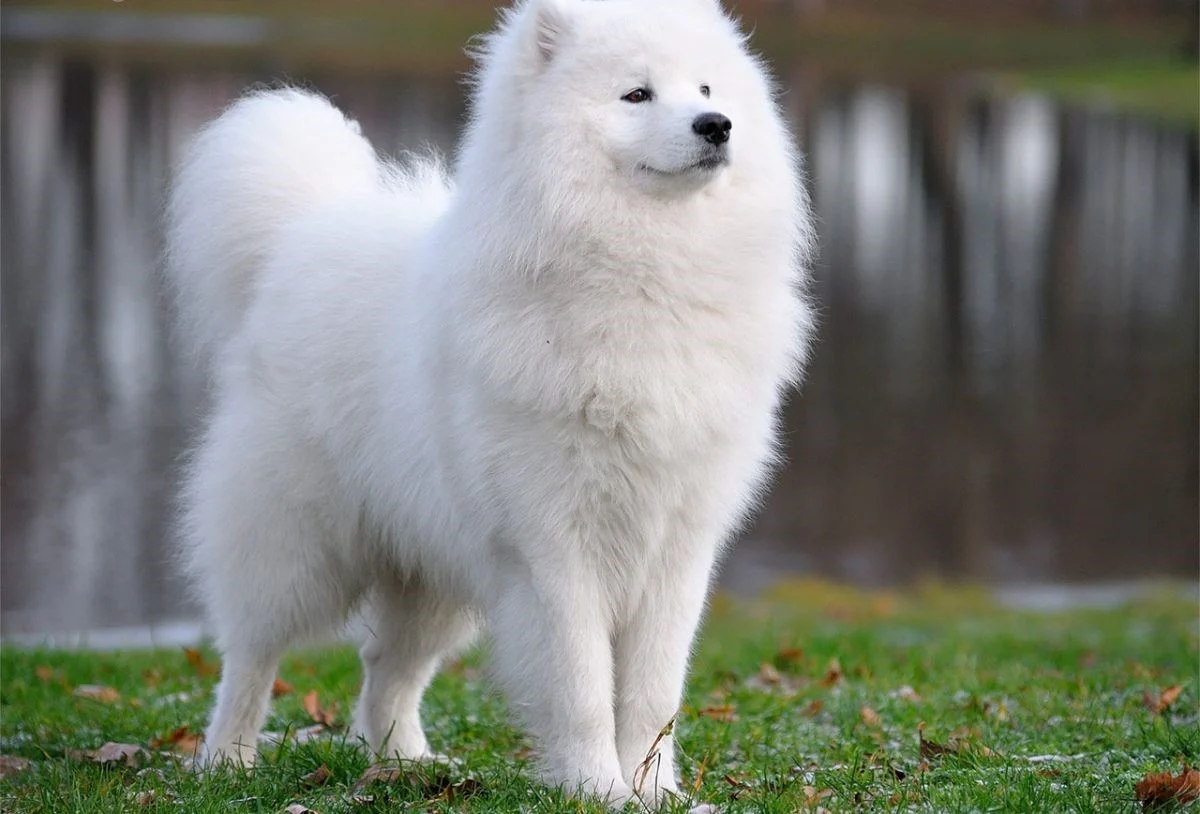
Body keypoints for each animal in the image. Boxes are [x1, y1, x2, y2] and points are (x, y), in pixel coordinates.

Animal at [164, 0, 816, 806]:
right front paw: (597, 789)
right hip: (297, 544)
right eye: (636, 95)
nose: (716, 125)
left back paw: (407, 764)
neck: (646, 275)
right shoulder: (553, 546)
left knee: (388, 670)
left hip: (430, 571)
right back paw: (227, 759)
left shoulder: (678, 546)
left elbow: (653, 693)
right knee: (253, 654)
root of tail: (302, 235)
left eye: (705, 87)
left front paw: (657, 792)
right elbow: (581, 684)